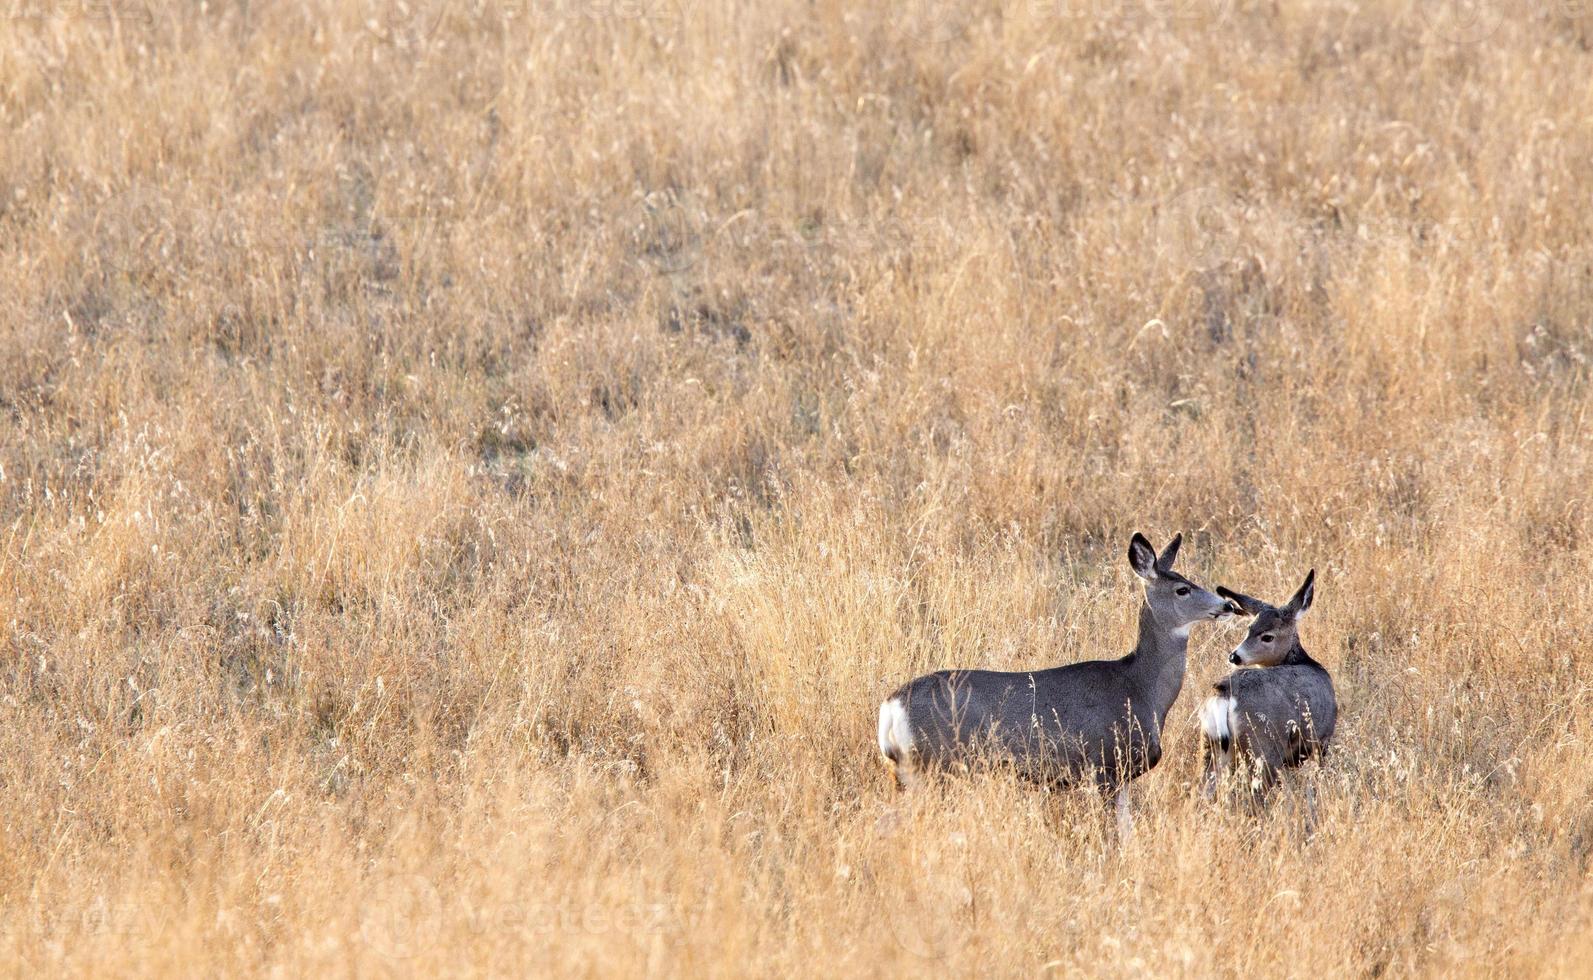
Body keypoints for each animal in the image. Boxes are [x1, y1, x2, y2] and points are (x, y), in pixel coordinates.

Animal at [879, 532, 1236, 834]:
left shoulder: (1120, 777)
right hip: (935, 765)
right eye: (1183, 589)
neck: (1140, 689)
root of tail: (890, 706)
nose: (1227, 605)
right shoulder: (1103, 765)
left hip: (905, 771)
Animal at [1197, 570, 1338, 809]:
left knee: (1204, 789)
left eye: (1266, 636)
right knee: (1258, 793)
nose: (1234, 656)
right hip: (1263, 747)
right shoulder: (1320, 742)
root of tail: (1224, 692)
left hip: (1210, 743)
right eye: (1250, 629)